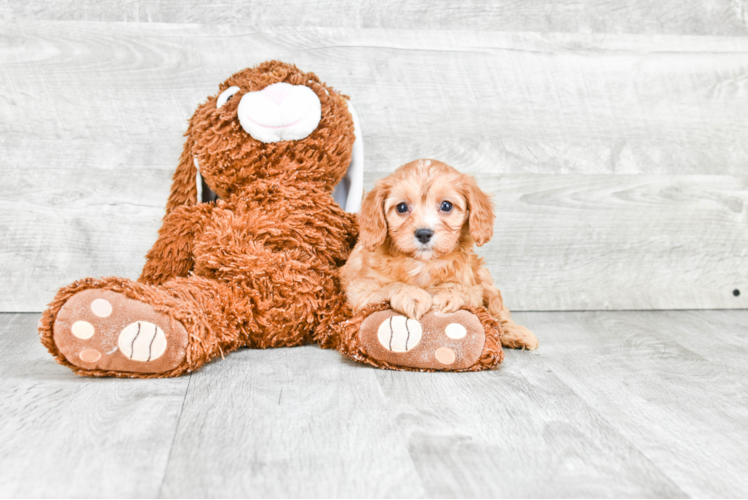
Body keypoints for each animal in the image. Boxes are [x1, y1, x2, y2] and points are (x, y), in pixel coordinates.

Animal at [342, 158, 540, 350]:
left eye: (446, 205)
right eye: (401, 207)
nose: (423, 233)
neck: (422, 262)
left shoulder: (473, 289)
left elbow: (460, 287)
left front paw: (446, 294)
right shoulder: (359, 291)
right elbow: (389, 286)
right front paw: (411, 295)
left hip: (483, 275)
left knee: (498, 310)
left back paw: (514, 332)